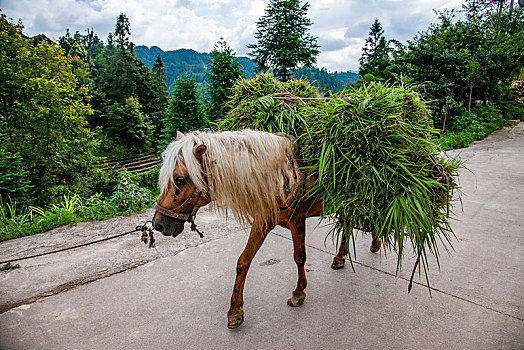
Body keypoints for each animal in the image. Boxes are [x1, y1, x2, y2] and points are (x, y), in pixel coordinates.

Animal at [151, 129, 380, 328]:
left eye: (180, 179)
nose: (158, 224)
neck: (279, 175)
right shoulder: (262, 221)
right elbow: (243, 262)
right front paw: (235, 312)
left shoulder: (298, 220)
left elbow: (300, 257)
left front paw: (298, 293)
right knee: (348, 223)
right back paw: (341, 257)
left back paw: (373, 244)